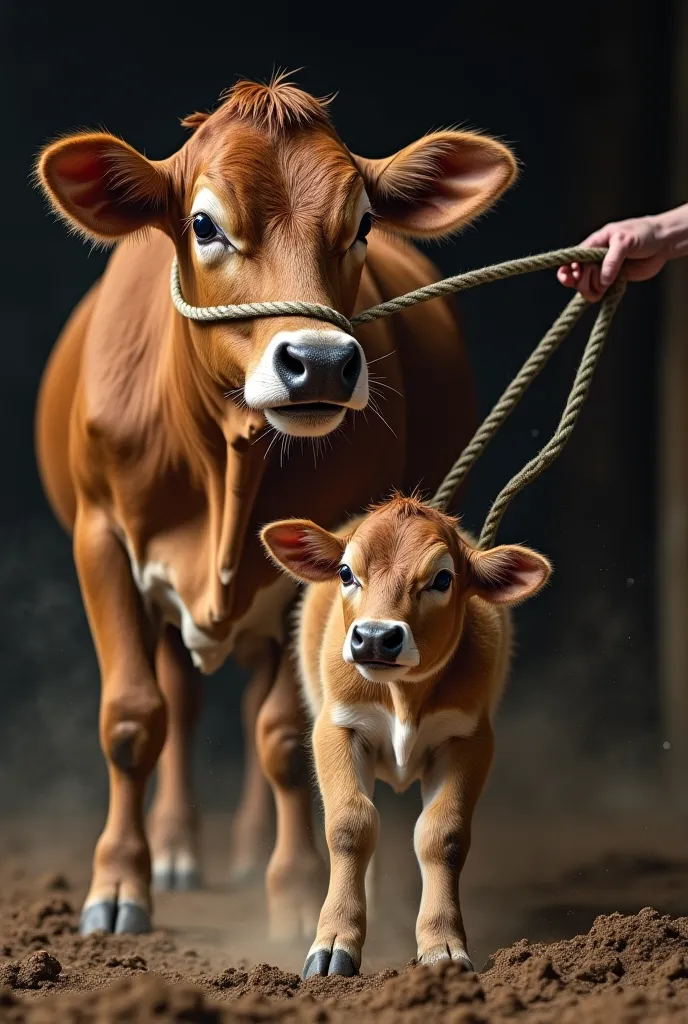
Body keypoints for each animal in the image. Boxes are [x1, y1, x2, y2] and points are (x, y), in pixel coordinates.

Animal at [33, 74, 516, 937]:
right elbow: (133, 718)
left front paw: (294, 893)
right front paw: (119, 885)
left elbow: (288, 737)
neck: (225, 464)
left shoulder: (329, 562)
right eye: (203, 224)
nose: (319, 361)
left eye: (362, 224)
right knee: (183, 698)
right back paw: (178, 849)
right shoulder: (101, 537)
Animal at [261, 499, 552, 978]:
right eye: (346, 572)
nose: (375, 637)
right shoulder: (336, 727)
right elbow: (350, 824)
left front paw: (442, 946)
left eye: (442, 578)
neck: (401, 697)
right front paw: (334, 941)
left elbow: (442, 835)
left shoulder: (469, 738)